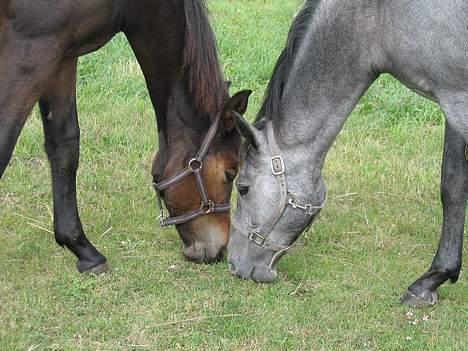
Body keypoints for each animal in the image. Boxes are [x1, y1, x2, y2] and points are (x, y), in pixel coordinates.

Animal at [0, 0, 250, 272]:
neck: (130, 5)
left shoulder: (63, 56)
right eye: (230, 172)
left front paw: (82, 248)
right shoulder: (32, 50)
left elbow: (65, 146)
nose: (220, 250)